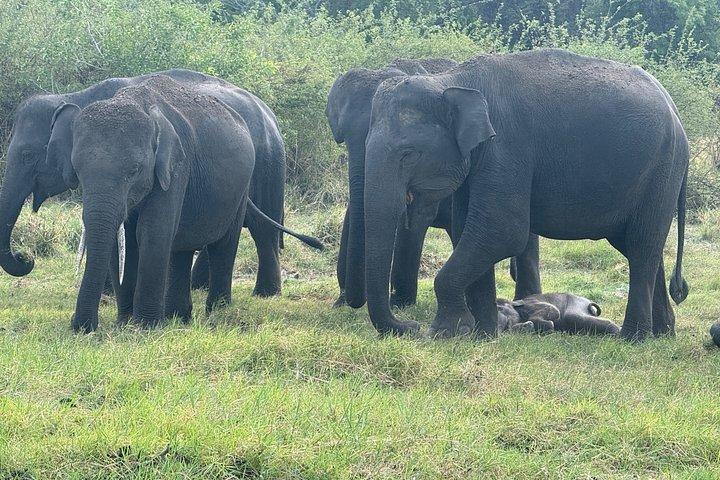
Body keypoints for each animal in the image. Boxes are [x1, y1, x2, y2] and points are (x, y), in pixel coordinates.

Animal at [0, 69, 287, 297]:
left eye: (27, 155)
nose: (26, 258)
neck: (79, 96)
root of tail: (270, 115)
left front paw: (109, 293)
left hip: (268, 168)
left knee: (262, 228)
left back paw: (265, 293)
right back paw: (198, 286)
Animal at [65, 75, 321, 332]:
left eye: (134, 170)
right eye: (77, 170)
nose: (80, 326)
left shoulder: (176, 168)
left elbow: (153, 232)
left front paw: (145, 327)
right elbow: (123, 242)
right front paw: (125, 323)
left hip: (247, 183)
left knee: (232, 240)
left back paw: (225, 308)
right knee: (184, 245)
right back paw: (179, 316)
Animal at [326, 57, 542, 310]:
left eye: (407, 154)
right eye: (343, 138)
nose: (352, 301)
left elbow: (416, 218)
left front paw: (399, 303)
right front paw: (340, 303)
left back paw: (526, 297)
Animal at [362, 48, 689, 341]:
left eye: (408, 154)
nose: (408, 326)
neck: (453, 79)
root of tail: (675, 112)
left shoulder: (507, 147)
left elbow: (501, 231)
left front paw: (444, 333)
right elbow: (468, 228)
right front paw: (483, 335)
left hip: (662, 168)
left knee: (642, 245)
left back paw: (634, 337)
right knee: (638, 245)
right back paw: (663, 332)